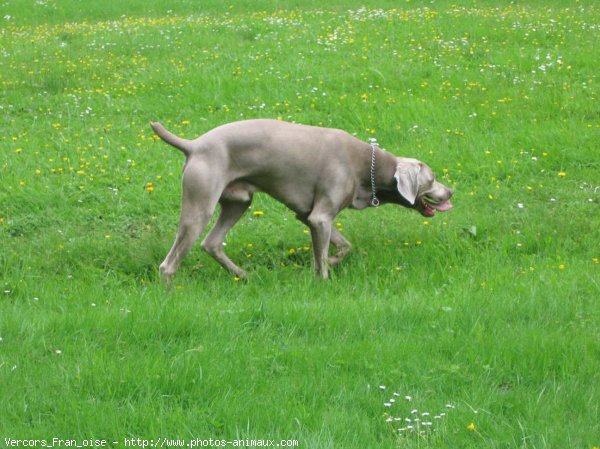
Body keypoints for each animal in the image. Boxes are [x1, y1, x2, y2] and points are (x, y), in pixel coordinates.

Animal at [151, 117, 454, 282]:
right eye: (432, 179)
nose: (451, 192)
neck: (366, 165)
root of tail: (193, 145)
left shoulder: (309, 217)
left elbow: (344, 247)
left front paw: (330, 261)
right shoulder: (320, 218)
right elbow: (325, 260)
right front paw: (324, 278)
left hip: (238, 202)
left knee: (211, 243)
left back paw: (244, 276)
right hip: (200, 204)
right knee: (168, 264)